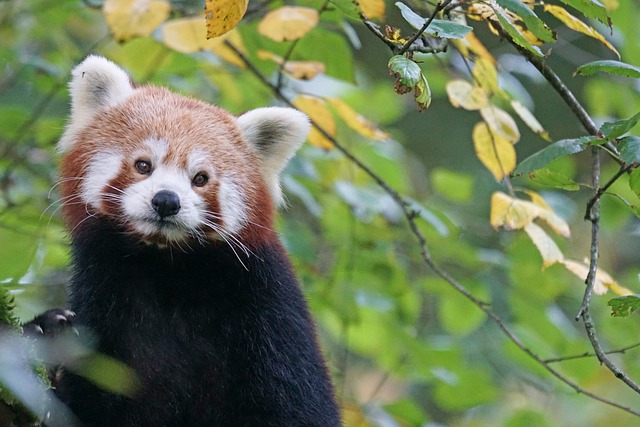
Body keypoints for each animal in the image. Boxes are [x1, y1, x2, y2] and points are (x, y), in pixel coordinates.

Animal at [44, 56, 340, 427]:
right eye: (143, 165)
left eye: (200, 178)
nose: (166, 201)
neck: (167, 269)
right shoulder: (106, 295)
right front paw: (47, 331)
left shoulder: (269, 310)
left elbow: (296, 404)